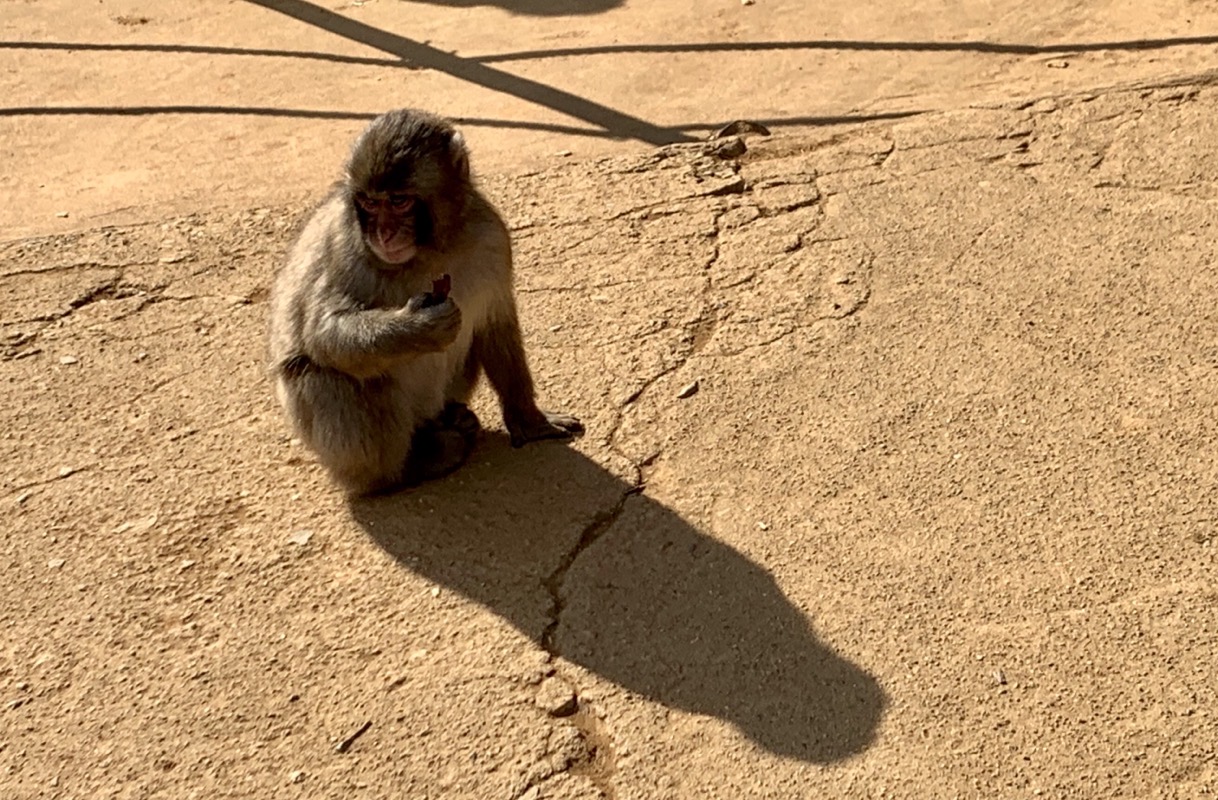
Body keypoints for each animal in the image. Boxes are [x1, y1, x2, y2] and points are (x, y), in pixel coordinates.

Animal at [267, 108, 583, 496]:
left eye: (399, 201)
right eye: (370, 203)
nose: (383, 234)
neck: (431, 250)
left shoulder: (493, 237)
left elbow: (496, 324)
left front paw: (529, 419)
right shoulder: (344, 243)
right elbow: (322, 334)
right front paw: (419, 327)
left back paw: (451, 420)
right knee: (326, 374)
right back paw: (408, 468)